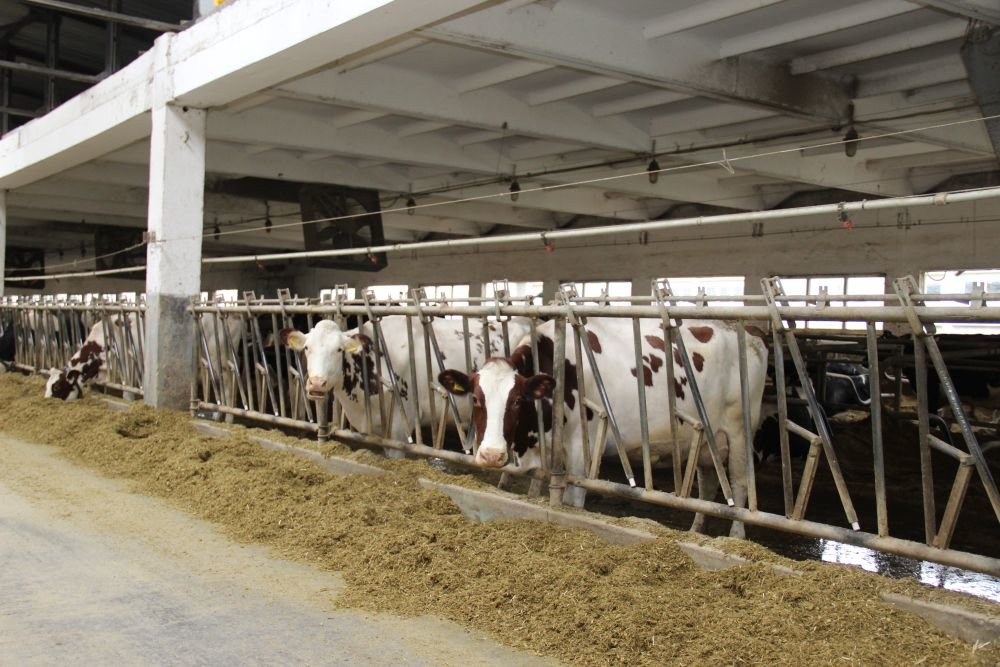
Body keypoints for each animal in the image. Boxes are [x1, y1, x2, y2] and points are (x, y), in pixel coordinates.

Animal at [438, 318, 769, 538]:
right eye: (476, 398)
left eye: (518, 400)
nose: (491, 455)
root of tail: (750, 331)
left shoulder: (578, 449)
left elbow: (573, 500)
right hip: (704, 442)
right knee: (709, 484)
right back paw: (696, 531)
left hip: (740, 433)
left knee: (740, 485)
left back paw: (735, 537)